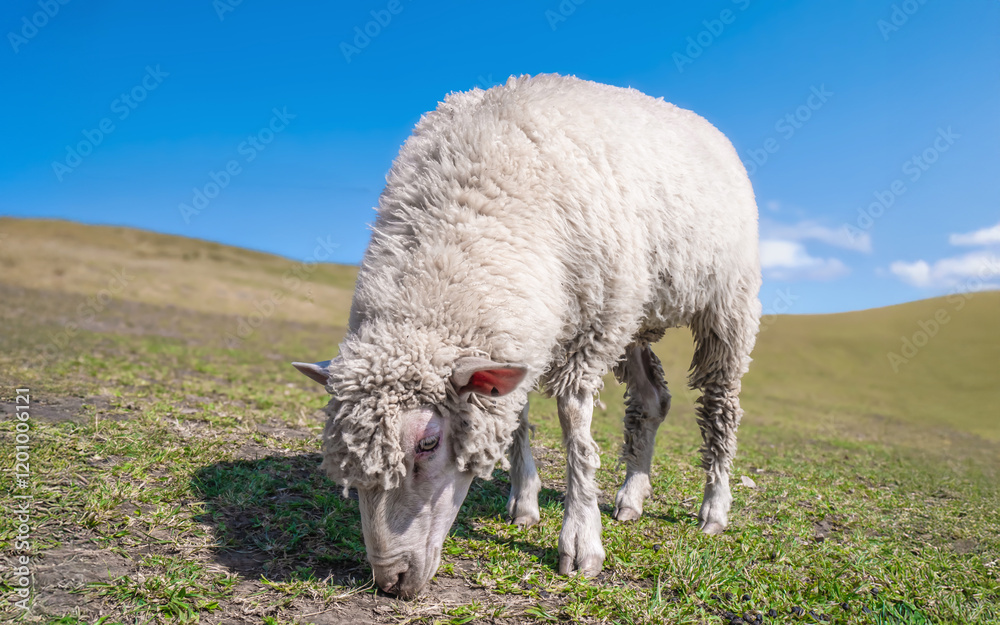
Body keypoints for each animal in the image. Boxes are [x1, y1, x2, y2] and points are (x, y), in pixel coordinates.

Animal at [293, 73, 761, 599]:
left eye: (428, 444)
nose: (389, 581)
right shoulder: (523, 334)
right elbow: (514, 416)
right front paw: (525, 502)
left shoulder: (593, 324)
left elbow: (575, 429)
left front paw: (580, 538)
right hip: (635, 309)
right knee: (651, 400)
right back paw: (631, 496)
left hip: (724, 304)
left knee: (720, 407)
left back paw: (714, 507)